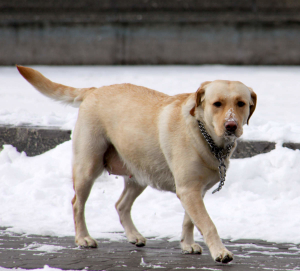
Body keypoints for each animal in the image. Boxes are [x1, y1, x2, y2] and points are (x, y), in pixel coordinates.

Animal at [17, 66, 255, 264]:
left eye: (241, 103)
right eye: (217, 104)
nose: (231, 125)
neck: (206, 136)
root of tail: (95, 90)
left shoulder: (195, 191)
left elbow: (190, 220)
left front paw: (187, 244)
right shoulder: (188, 190)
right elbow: (207, 223)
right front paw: (220, 252)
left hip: (141, 173)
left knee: (120, 205)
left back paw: (134, 235)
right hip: (87, 167)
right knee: (77, 204)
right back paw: (83, 238)